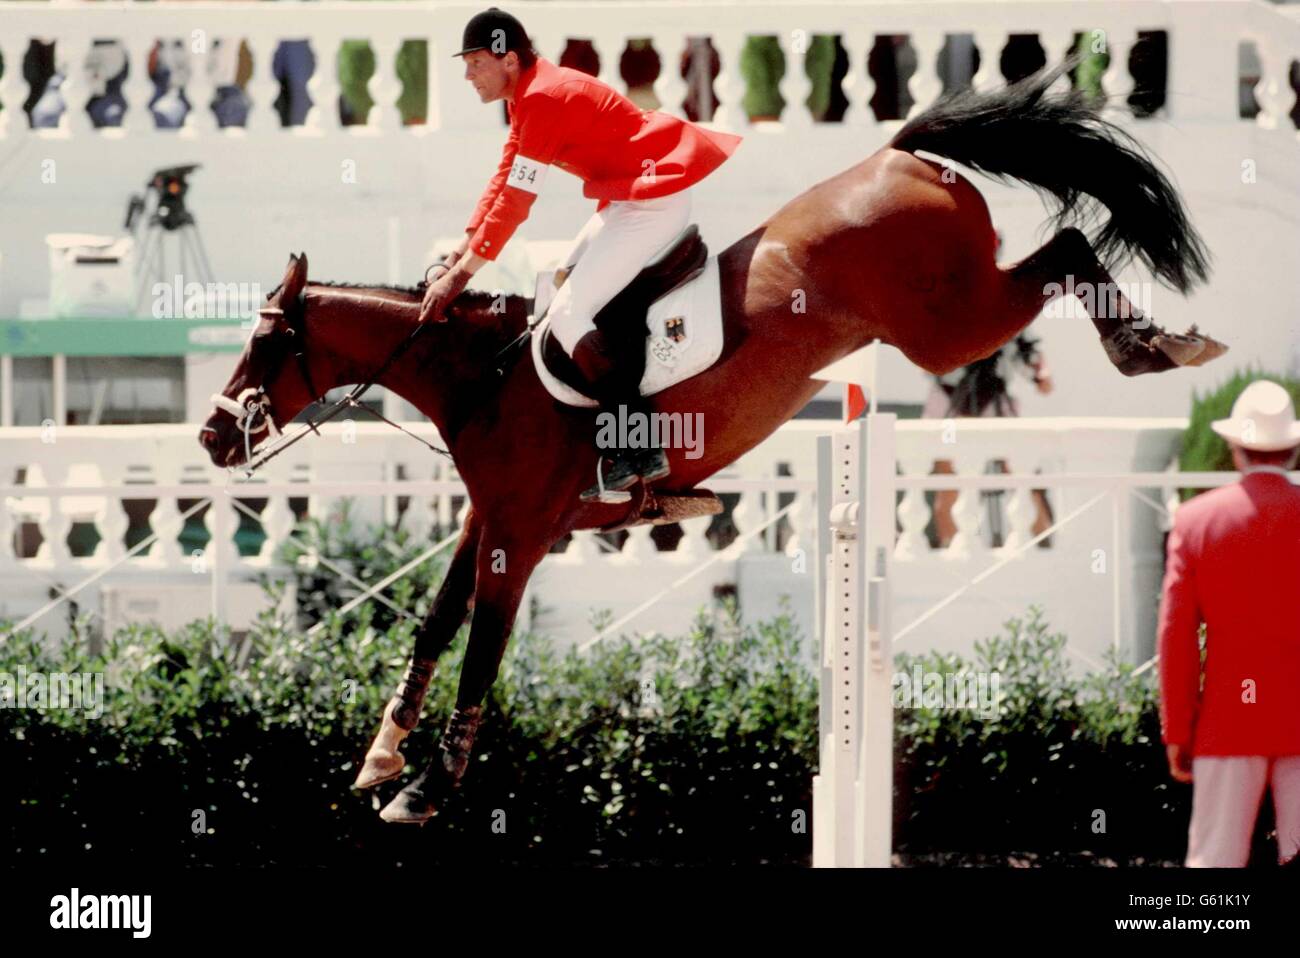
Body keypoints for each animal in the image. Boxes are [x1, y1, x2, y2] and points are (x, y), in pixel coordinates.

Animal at [200, 61, 1216, 821]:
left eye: (264, 346)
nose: (212, 436)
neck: (480, 375)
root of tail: (896, 155)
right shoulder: (485, 523)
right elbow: (437, 624)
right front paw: (380, 756)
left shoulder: (518, 539)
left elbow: (483, 644)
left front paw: (423, 790)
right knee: (1063, 251)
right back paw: (1153, 341)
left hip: (949, 327)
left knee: (1069, 249)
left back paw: (1153, 345)